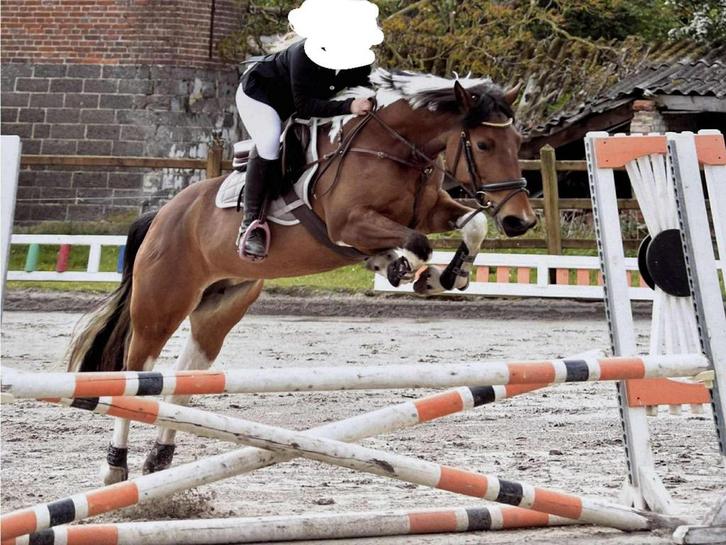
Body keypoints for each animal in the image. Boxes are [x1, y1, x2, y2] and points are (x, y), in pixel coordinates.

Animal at [67, 69, 537, 484]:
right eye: (483, 143)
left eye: (517, 142)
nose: (521, 221)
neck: (395, 148)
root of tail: (163, 215)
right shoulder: (349, 224)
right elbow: (419, 242)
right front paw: (408, 269)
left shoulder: (430, 208)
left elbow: (473, 224)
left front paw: (444, 277)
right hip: (161, 305)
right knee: (135, 377)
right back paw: (115, 467)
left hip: (220, 307)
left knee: (182, 382)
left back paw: (160, 459)